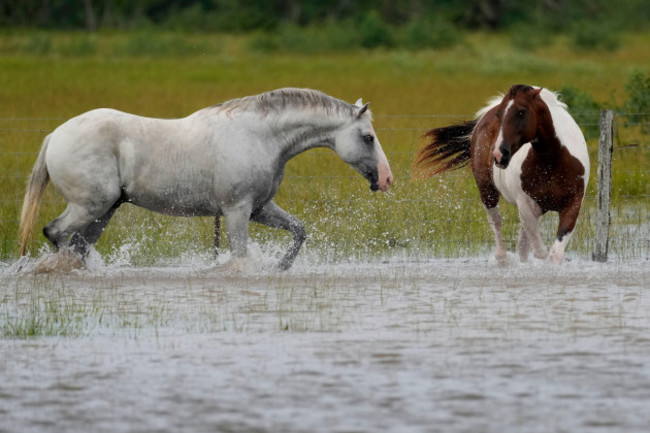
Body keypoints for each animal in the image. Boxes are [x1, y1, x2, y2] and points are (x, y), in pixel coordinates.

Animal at [20, 87, 392, 268]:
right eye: (368, 137)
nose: (386, 179)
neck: (261, 136)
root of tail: (55, 135)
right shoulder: (237, 211)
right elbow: (240, 257)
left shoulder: (260, 209)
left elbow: (299, 231)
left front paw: (281, 267)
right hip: (89, 206)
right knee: (56, 233)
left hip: (104, 211)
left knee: (77, 247)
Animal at [412, 82, 588, 262]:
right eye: (500, 114)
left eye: (521, 112)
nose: (498, 154)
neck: (552, 161)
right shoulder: (525, 203)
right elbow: (540, 251)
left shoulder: (573, 204)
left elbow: (555, 252)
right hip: (487, 191)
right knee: (496, 221)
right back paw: (502, 257)